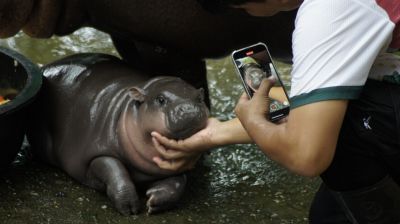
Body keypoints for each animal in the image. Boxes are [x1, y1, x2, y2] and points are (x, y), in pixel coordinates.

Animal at [27, 53, 209, 215]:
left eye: (200, 98)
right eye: (161, 99)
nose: (189, 109)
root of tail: (46, 67)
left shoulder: (174, 168)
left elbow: (178, 183)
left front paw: (154, 202)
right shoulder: (97, 152)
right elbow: (116, 172)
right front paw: (129, 208)